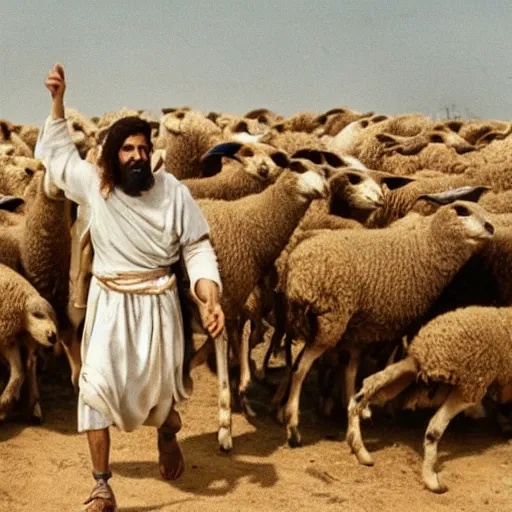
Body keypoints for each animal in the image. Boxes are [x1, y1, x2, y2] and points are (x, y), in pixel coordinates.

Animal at [278, 198, 494, 446]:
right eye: (462, 212)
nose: (491, 228)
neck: (426, 245)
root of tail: (295, 263)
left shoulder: (361, 329)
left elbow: (351, 368)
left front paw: (355, 407)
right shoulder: (402, 326)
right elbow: (394, 363)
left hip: (307, 321)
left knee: (295, 363)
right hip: (329, 320)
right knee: (300, 368)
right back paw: (293, 426)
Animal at [350, 304, 512, 492]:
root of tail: (427, 345)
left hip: (410, 370)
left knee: (365, 391)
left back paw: (359, 449)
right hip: (469, 383)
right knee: (433, 429)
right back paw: (431, 480)